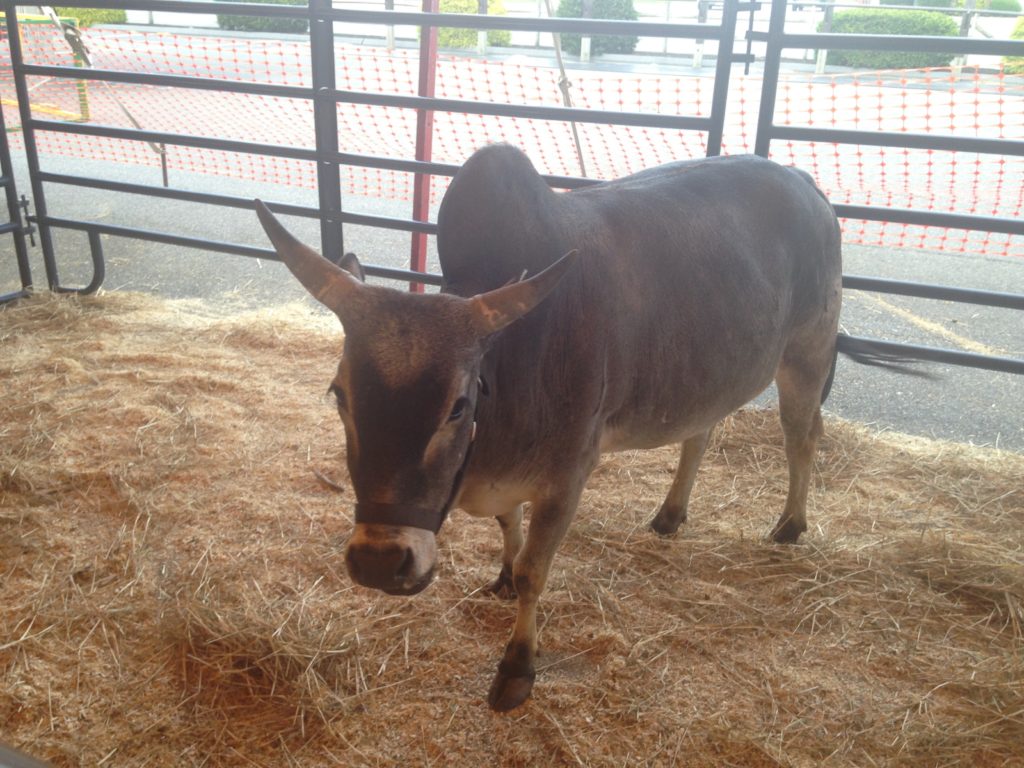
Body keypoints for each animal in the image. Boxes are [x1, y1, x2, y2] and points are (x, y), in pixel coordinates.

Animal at [253, 143, 839, 708]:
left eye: (458, 406)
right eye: (340, 394)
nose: (379, 562)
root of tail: (804, 182)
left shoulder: (568, 477)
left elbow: (535, 572)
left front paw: (517, 667)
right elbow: (507, 528)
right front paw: (502, 576)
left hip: (807, 354)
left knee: (802, 436)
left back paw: (790, 525)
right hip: (709, 379)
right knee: (700, 432)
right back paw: (670, 515)